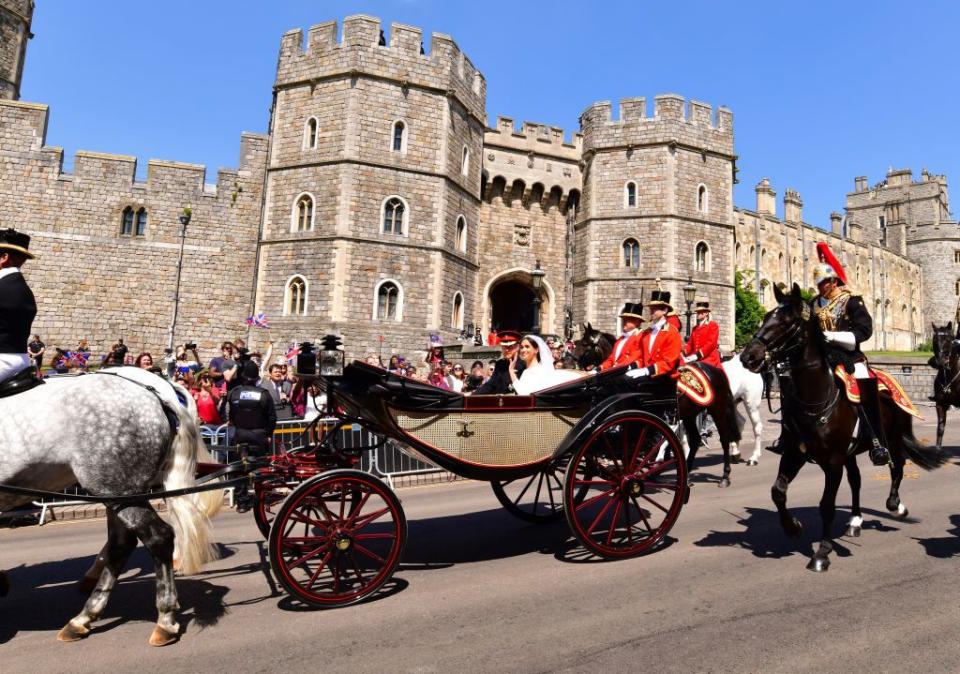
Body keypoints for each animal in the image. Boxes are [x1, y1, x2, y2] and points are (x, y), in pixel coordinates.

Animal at [0, 368, 221, 644]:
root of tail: (158, 393)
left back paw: (165, 618)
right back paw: (84, 617)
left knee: (158, 536)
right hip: (118, 493)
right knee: (122, 544)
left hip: (116, 490)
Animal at [740, 280, 948, 568]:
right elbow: (778, 491)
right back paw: (855, 520)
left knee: (897, 467)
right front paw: (793, 528)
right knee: (857, 480)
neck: (816, 397)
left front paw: (822, 553)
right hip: (852, 452)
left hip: (892, 440)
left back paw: (896, 505)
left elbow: (826, 505)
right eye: (766, 316)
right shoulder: (796, 453)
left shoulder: (833, 461)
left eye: (787, 322)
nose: (748, 357)